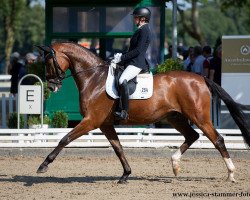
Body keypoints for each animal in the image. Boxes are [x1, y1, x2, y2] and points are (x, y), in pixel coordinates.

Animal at [36, 42, 249, 183]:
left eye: (48, 62)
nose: (52, 86)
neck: (93, 78)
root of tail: (201, 78)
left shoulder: (91, 120)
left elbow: (64, 139)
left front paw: (43, 165)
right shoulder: (105, 124)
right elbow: (118, 148)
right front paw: (125, 175)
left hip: (199, 117)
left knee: (217, 139)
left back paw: (231, 174)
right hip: (174, 117)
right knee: (192, 136)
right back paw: (175, 164)